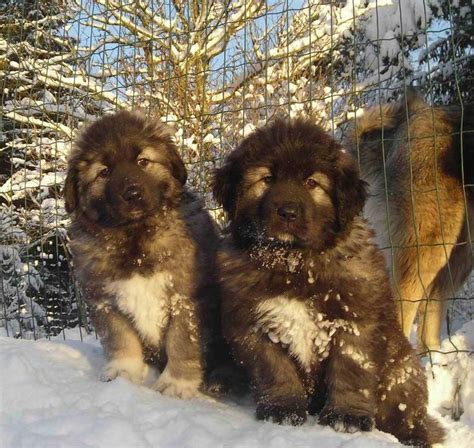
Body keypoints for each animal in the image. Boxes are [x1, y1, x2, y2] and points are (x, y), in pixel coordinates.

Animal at [65, 110, 222, 398]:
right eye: (104, 172)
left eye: (143, 161)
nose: (133, 194)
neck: (135, 238)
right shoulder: (104, 300)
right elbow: (120, 339)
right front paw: (122, 372)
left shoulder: (186, 296)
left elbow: (182, 342)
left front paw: (176, 383)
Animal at [214, 120, 444, 448]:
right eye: (267, 179)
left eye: (312, 183)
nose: (287, 212)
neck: (294, 263)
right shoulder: (253, 326)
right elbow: (275, 371)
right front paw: (283, 409)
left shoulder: (354, 320)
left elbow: (351, 372)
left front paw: (346, 417)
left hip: (401, 373)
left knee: (408, 416)